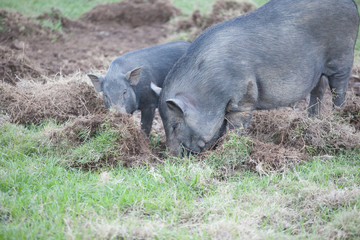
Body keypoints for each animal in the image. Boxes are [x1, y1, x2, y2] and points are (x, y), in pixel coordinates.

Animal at [153, 0, 358, 156]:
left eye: (174, 125)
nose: (171, 157)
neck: (208, 90)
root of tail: (352, 4)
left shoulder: (242, 101)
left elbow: (236, 127)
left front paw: (230, 147)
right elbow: (220, 129)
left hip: (342, 57)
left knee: (339, 89)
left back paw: (338, 117)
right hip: (319, 71)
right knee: (318, 90)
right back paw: (313, 120)